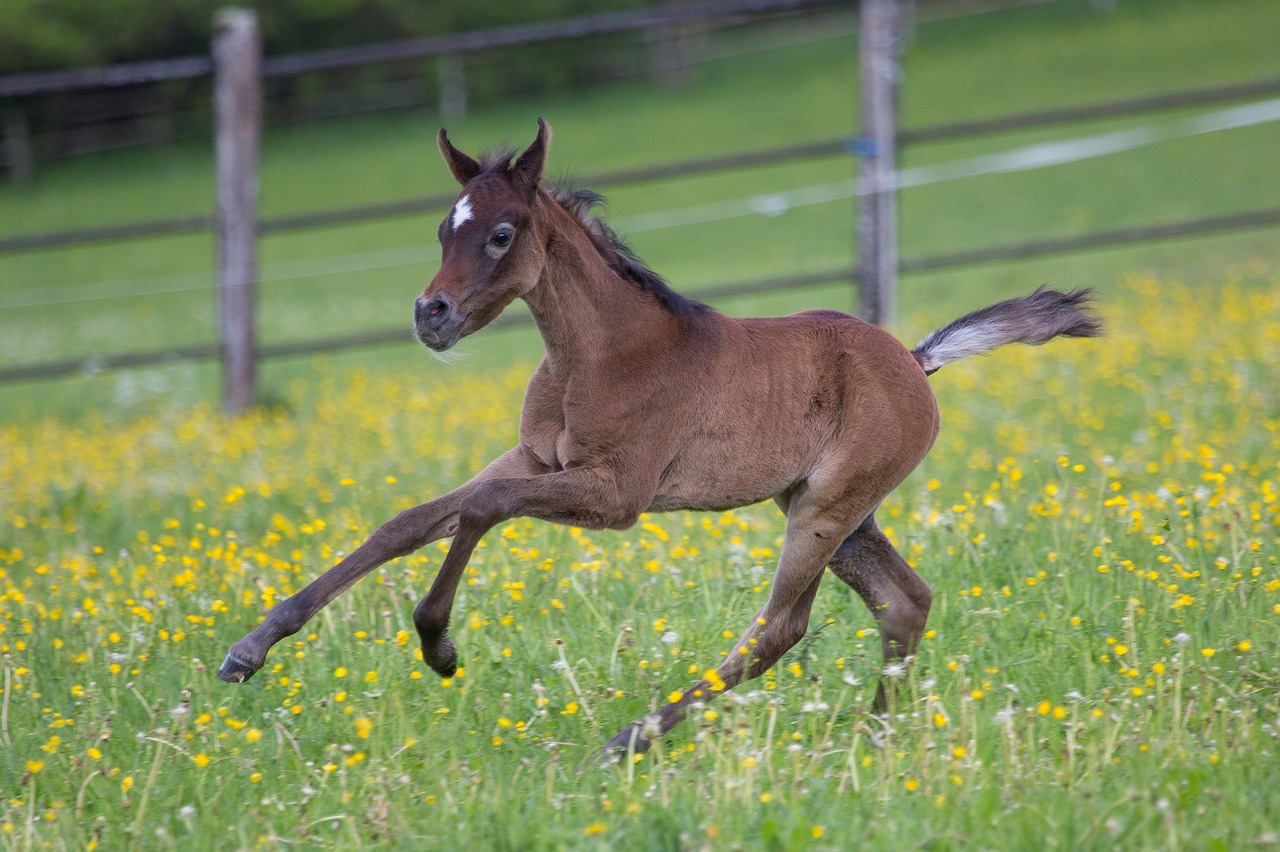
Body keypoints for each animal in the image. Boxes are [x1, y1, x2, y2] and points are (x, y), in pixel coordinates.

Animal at [220, 117, 1100, 752]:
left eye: (502, 234)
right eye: (444, 227)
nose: (429, 316)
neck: (597, 353)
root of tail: (916, 361)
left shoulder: (616, 497)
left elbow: (482, 509)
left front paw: (438, 646)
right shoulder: (532, 456)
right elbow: (405, 523)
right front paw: (250, 649)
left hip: (826, 508)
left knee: (781, 628)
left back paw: (631, 739)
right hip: (829, 509)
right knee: (903, 600)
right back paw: (877, 734)